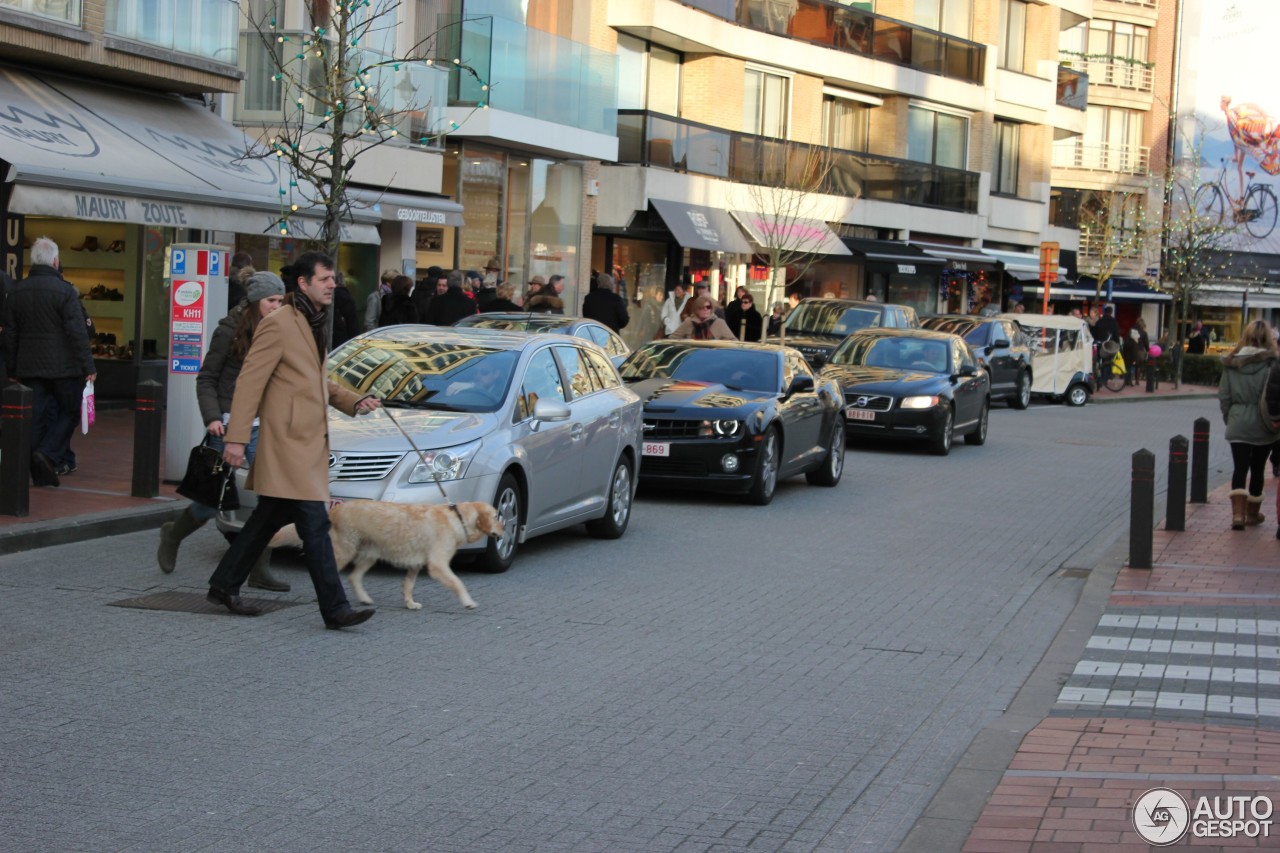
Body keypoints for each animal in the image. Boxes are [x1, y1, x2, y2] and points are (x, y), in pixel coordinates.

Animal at [267, 499, 501, 612]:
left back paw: (364, 598)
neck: (458, 518)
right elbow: (458, 583)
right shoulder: (438, 565)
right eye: (498, 516)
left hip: (370, 554)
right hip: (345, 551)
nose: (504, 530)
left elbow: (408, 585)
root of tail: (333, 511)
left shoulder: (415, 565)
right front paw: (468, 602)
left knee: (354, 576)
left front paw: (410, 603)